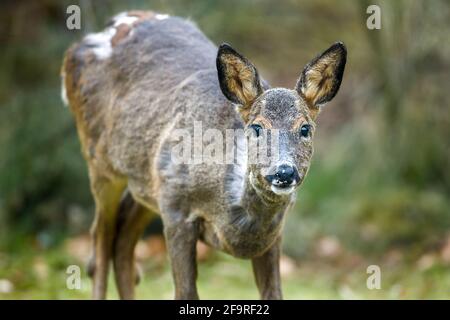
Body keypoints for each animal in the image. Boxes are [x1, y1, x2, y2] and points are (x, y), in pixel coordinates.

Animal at [60, 10, 348, 300]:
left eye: (305, 128)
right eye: (256, 126)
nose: (284, 172)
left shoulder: (274, 233)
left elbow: (274, 293)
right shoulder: (176, 207)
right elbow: (186, 292)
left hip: (147, 181)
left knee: (123, 238)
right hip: (101, 162)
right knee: (101, 241)